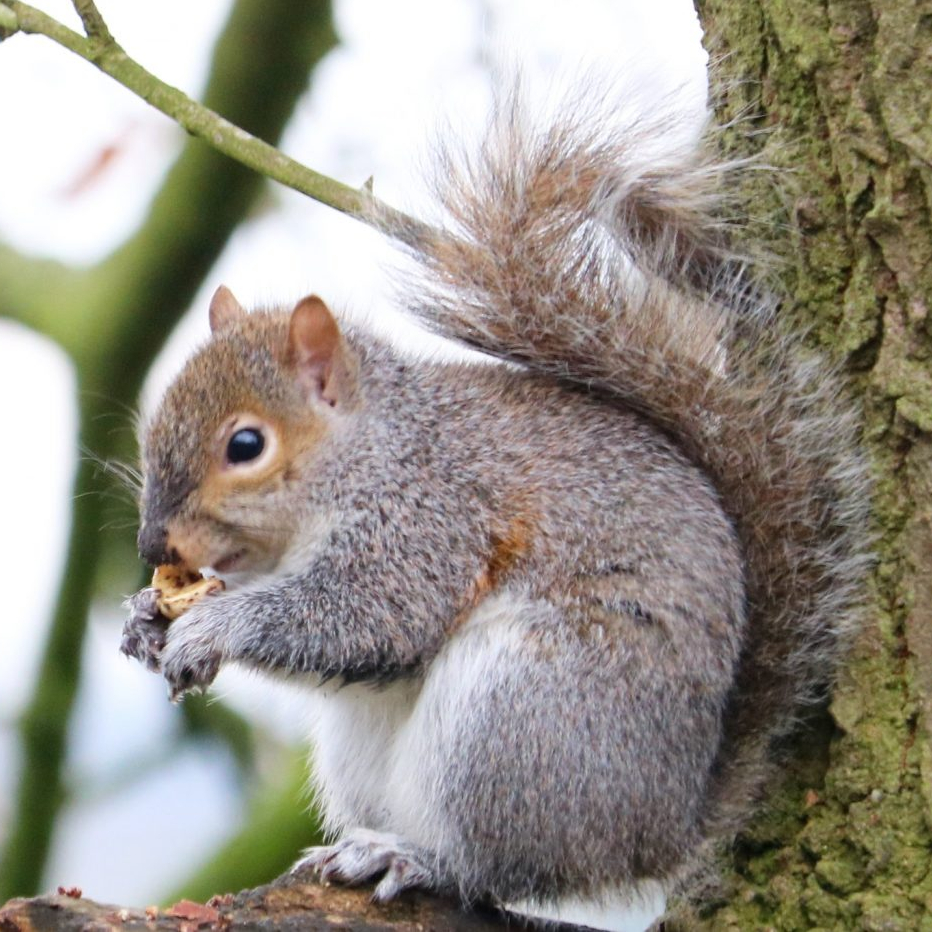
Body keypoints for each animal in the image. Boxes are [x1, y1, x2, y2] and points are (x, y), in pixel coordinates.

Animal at [121, 91, 871, 931]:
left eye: (245, 445)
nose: (151, 544)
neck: (371, 449)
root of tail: (661, 832)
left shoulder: (431, 516)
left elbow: (370, 614)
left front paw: (214, 625)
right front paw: (145, 619)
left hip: (520, 720)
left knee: (493, 868)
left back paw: (413, 857)